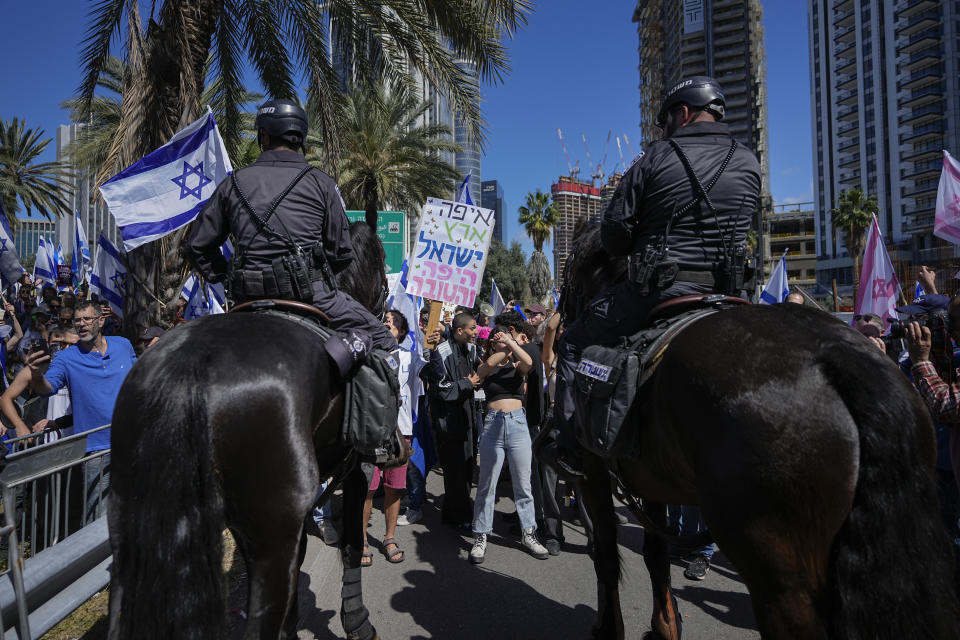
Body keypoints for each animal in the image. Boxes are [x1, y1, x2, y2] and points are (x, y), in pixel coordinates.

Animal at [108, 221, 386, 640]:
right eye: (383, 262)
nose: (385, 305)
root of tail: (191, 363)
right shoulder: (355, 466)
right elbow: (353, 541)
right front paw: (357, 620)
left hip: (133, 532)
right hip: (273, 529)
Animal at [564, 222, 960, 636]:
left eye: (571, 269)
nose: (563, 318)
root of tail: (837, 356)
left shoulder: (594, 471)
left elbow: (606, 554)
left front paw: (610, 628)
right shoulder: (649, 479)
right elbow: (654, 555)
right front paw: (664, 626)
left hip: (781, 579)